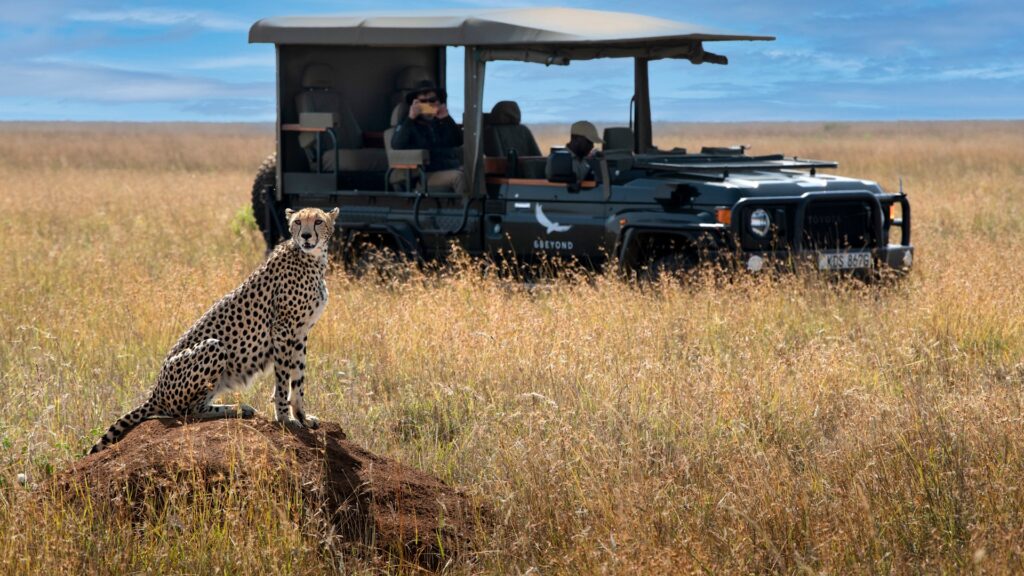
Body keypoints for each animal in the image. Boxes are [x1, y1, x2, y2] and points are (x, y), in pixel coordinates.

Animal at [89, 206, 340, 454]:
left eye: (318, 221)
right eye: (297, 222)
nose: (306, 236)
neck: (312, 258)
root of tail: (155, 393)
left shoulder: (300, 332)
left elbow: (298, 379)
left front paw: (303, 417)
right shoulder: (283, 329)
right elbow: (283, 379)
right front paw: (284, 417)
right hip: (213, 346)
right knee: (187, 411)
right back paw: (237, 408)